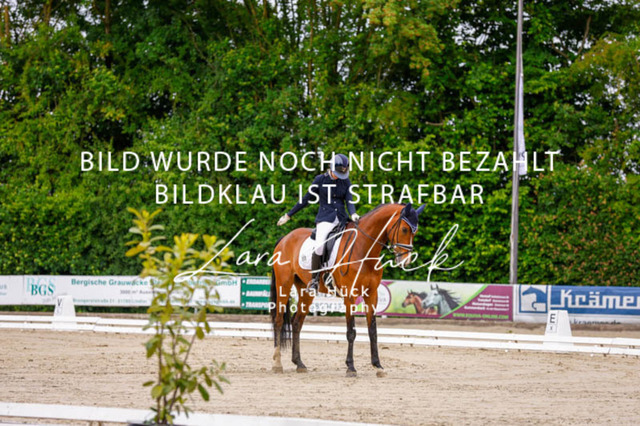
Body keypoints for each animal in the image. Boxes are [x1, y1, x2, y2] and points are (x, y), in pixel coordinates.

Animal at [270, 202, 425, 377]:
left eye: (415, 231)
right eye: (405, 229)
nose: (406, 261)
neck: (363, 248)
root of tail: (285, 238)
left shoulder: (372, 294)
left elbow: (373, 331)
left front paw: (378, 366)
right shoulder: (350, 296)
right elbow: (351, 332)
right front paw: (350, 367)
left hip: (306, 291)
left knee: (296, 323)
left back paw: (299, 363)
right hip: (284, 285)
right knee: (278, 320)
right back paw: (277, 363)